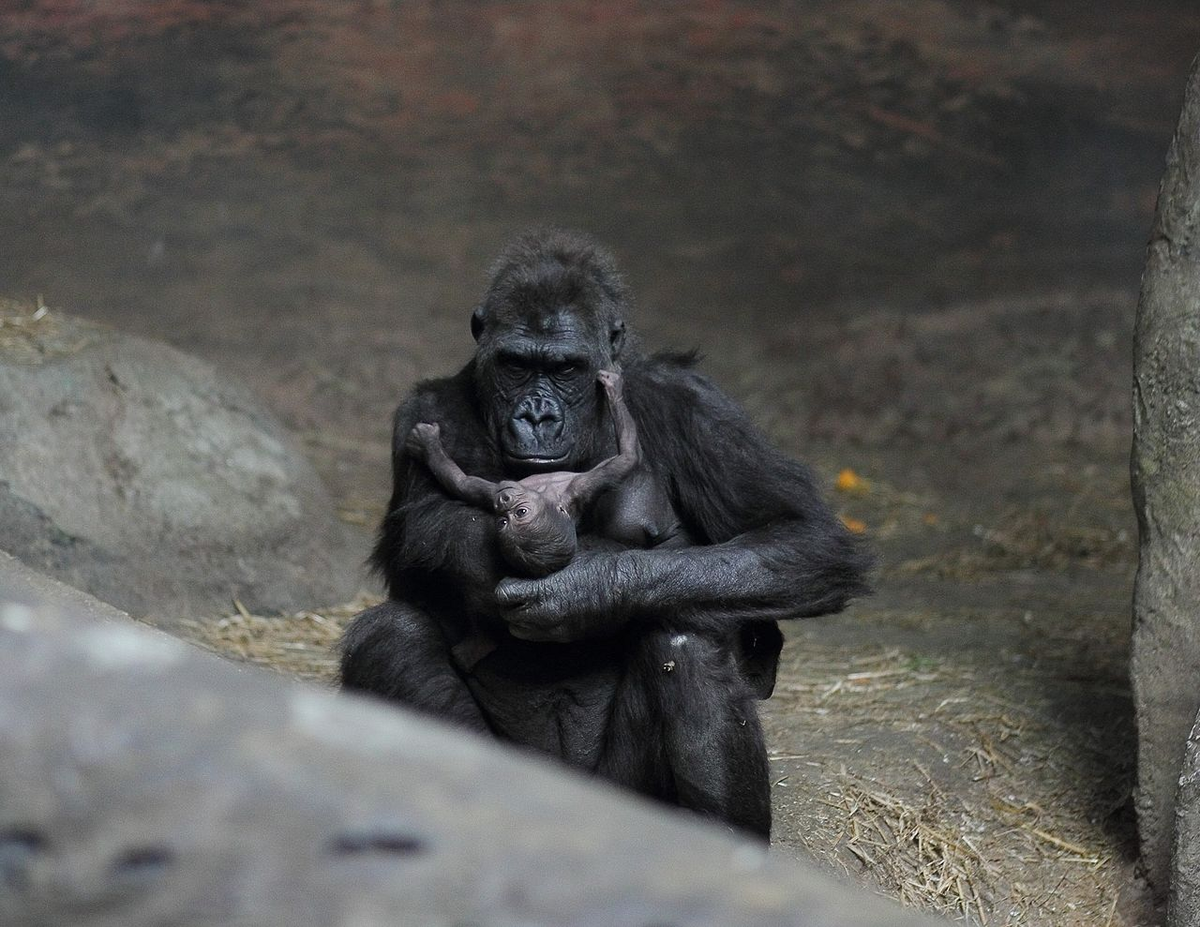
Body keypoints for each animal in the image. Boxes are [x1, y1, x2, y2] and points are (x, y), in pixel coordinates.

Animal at [405, 372, 638, 578]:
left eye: (521, 512)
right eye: (502, 522)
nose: (504, 501)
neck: (547, 494)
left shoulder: (581, 487)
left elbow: (626, 459)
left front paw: (614, 390)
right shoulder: (494, 494)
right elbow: (462, 483)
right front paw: (429, 445)